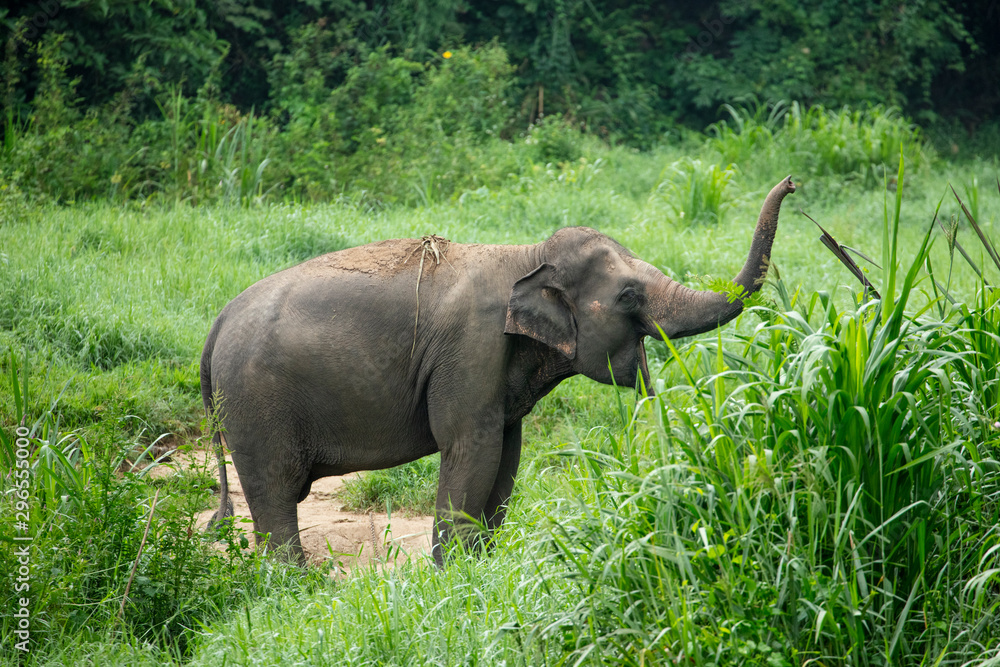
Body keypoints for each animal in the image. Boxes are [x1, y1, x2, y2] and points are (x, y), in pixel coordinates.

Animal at [201, 176, 796, 565]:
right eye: (628, 295)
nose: (791, 182)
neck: (524, 257)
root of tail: (217, 324)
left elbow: (507, 454)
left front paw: (481, 566)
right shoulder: (472, 349)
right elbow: (472, 448)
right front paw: (451, 575)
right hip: (255, 404)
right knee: (274, 488)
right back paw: (296, 582)